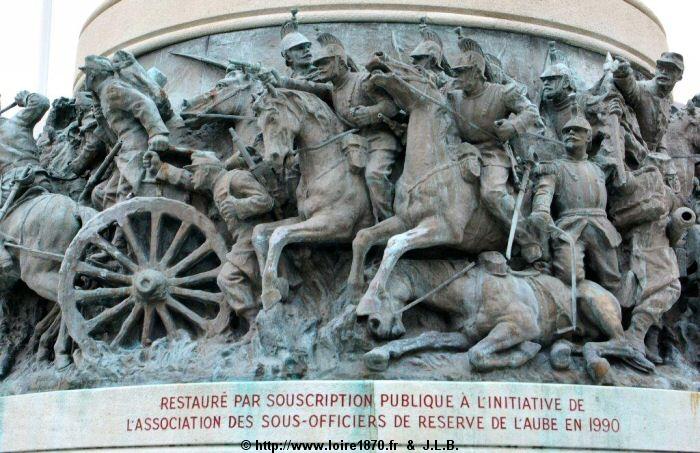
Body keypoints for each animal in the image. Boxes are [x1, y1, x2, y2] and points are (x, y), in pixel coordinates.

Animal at [252, 87, 372, 308]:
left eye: (273, 117)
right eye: (259, 124)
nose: (271, 160)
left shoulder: (335, 225)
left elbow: (279, 234)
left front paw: (270, 289)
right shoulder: (304, 218)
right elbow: (259, 231)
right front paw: (271, 287)